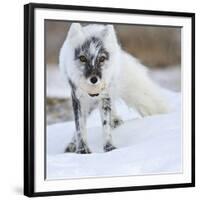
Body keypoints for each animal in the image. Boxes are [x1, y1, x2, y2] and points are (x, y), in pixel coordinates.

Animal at [59, 22, 169, 153]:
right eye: (82, 58)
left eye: (101, 58)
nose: (94, 79)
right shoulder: (77, 98)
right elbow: (80, 127)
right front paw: (82, 150)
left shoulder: (104, 95)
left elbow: (106, 126)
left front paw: (109, 147)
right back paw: (72, 144)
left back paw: (115, 120)